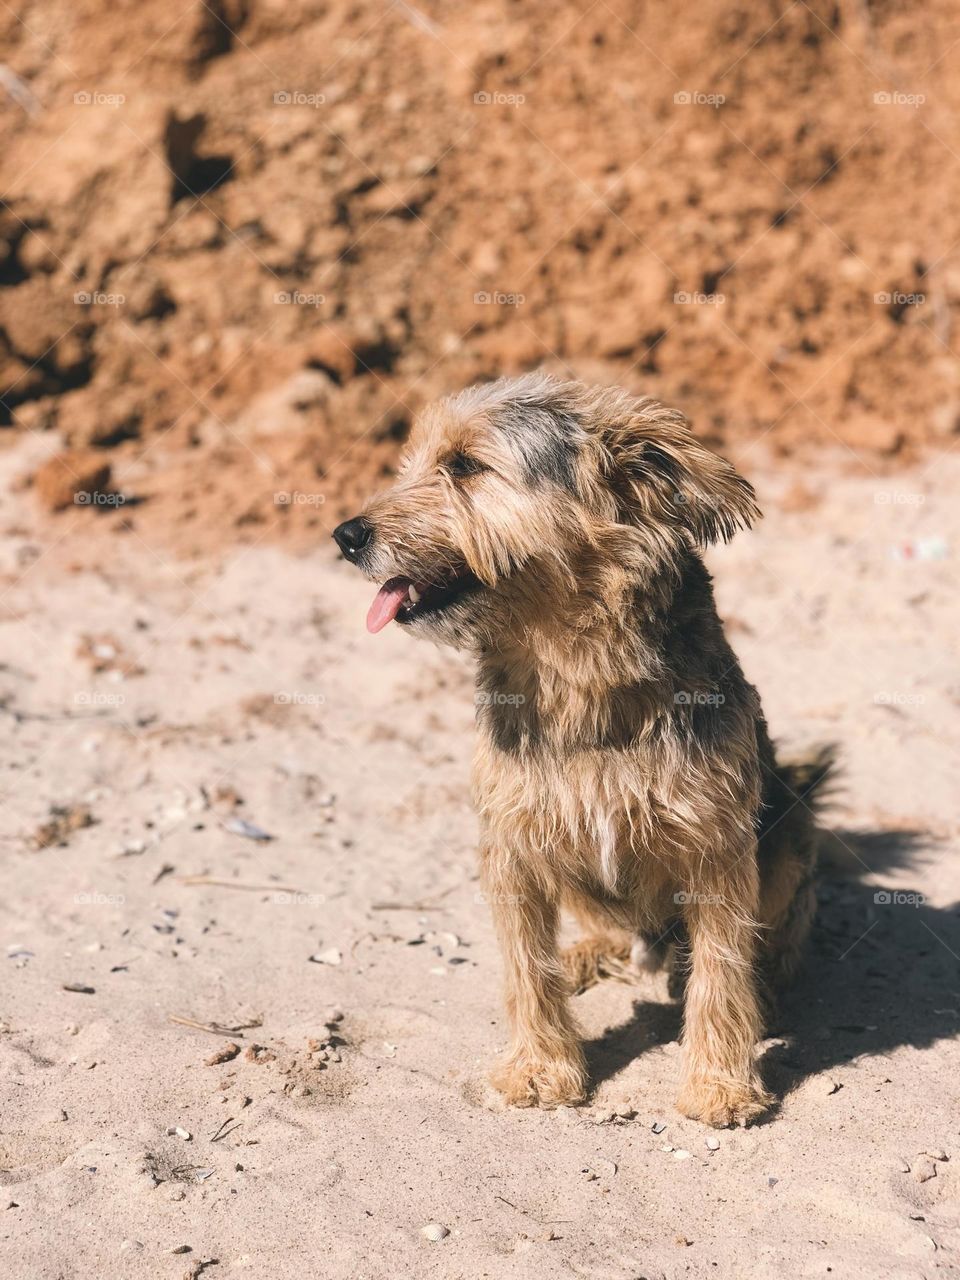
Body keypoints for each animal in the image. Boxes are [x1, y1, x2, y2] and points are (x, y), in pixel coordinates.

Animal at [335, 373, 829, 1126]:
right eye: (410, 465)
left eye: (465, 466)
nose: (345, 535)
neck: (574, 674)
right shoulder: (512, 841)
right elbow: (525, 967)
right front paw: (541, 1068)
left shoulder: (715, 846)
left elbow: (720, 973)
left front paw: (718, 1084)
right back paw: (586, 954)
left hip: (792, 827)